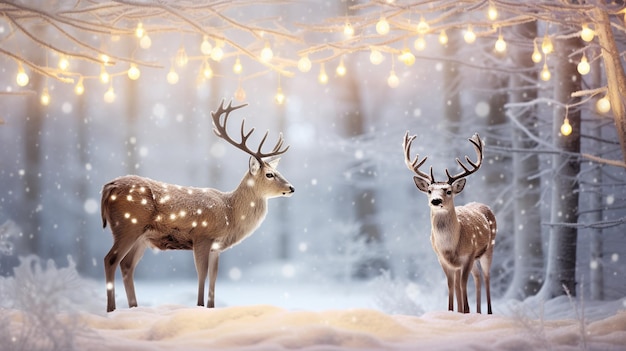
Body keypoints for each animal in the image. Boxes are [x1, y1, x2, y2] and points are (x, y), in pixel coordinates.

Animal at [101, 100, 294, 312]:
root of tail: (108, 187)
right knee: (110, 260)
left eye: (277, 171)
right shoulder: (202, 236)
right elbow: (202, 274)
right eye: (269, 174)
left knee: (127, 265)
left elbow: (213, 278)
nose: (291, 188)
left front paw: (210, 308)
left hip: (142, 237)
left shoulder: (216, 247)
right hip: (128, 226)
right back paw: (111, 310)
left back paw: (134, 308)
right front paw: (199, 306)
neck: (230, 213)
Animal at [402, 132, 494, 314]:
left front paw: (465, 311)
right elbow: (451, 286)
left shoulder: (468, 255)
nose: (436, 201)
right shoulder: (443, 259)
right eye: (429, 190)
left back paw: (488, 313)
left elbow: (463, 285)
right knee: (477, 277)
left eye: (449, 191)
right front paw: (452, 312)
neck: (450, 246)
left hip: (489, 248)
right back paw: (477, 312)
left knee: (486, 277)